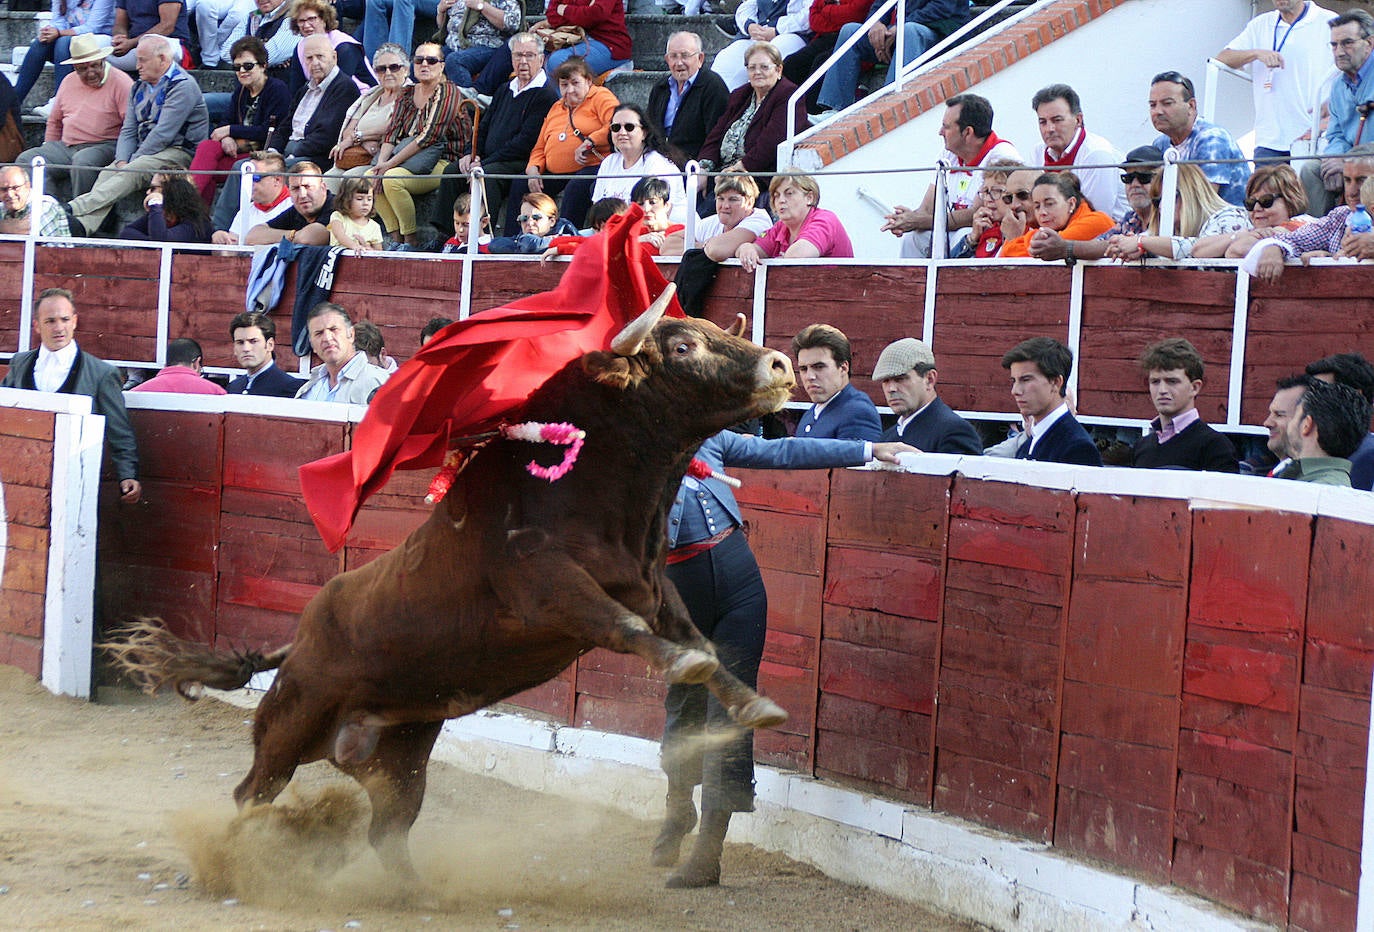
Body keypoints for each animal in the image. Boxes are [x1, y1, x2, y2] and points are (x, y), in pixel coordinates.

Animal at [114, 294, 802, 885]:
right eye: (685, 345)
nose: (780, 363)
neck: (589, 492)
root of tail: (296, 641)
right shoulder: (550, 592)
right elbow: (631, 631)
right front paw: (691, 671)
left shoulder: (653, 590)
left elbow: (705, 646)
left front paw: (754, 707)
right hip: (290, 721)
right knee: (252, 793)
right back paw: (227, 867)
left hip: (401, 751)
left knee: (388, 828)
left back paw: (411, 894)